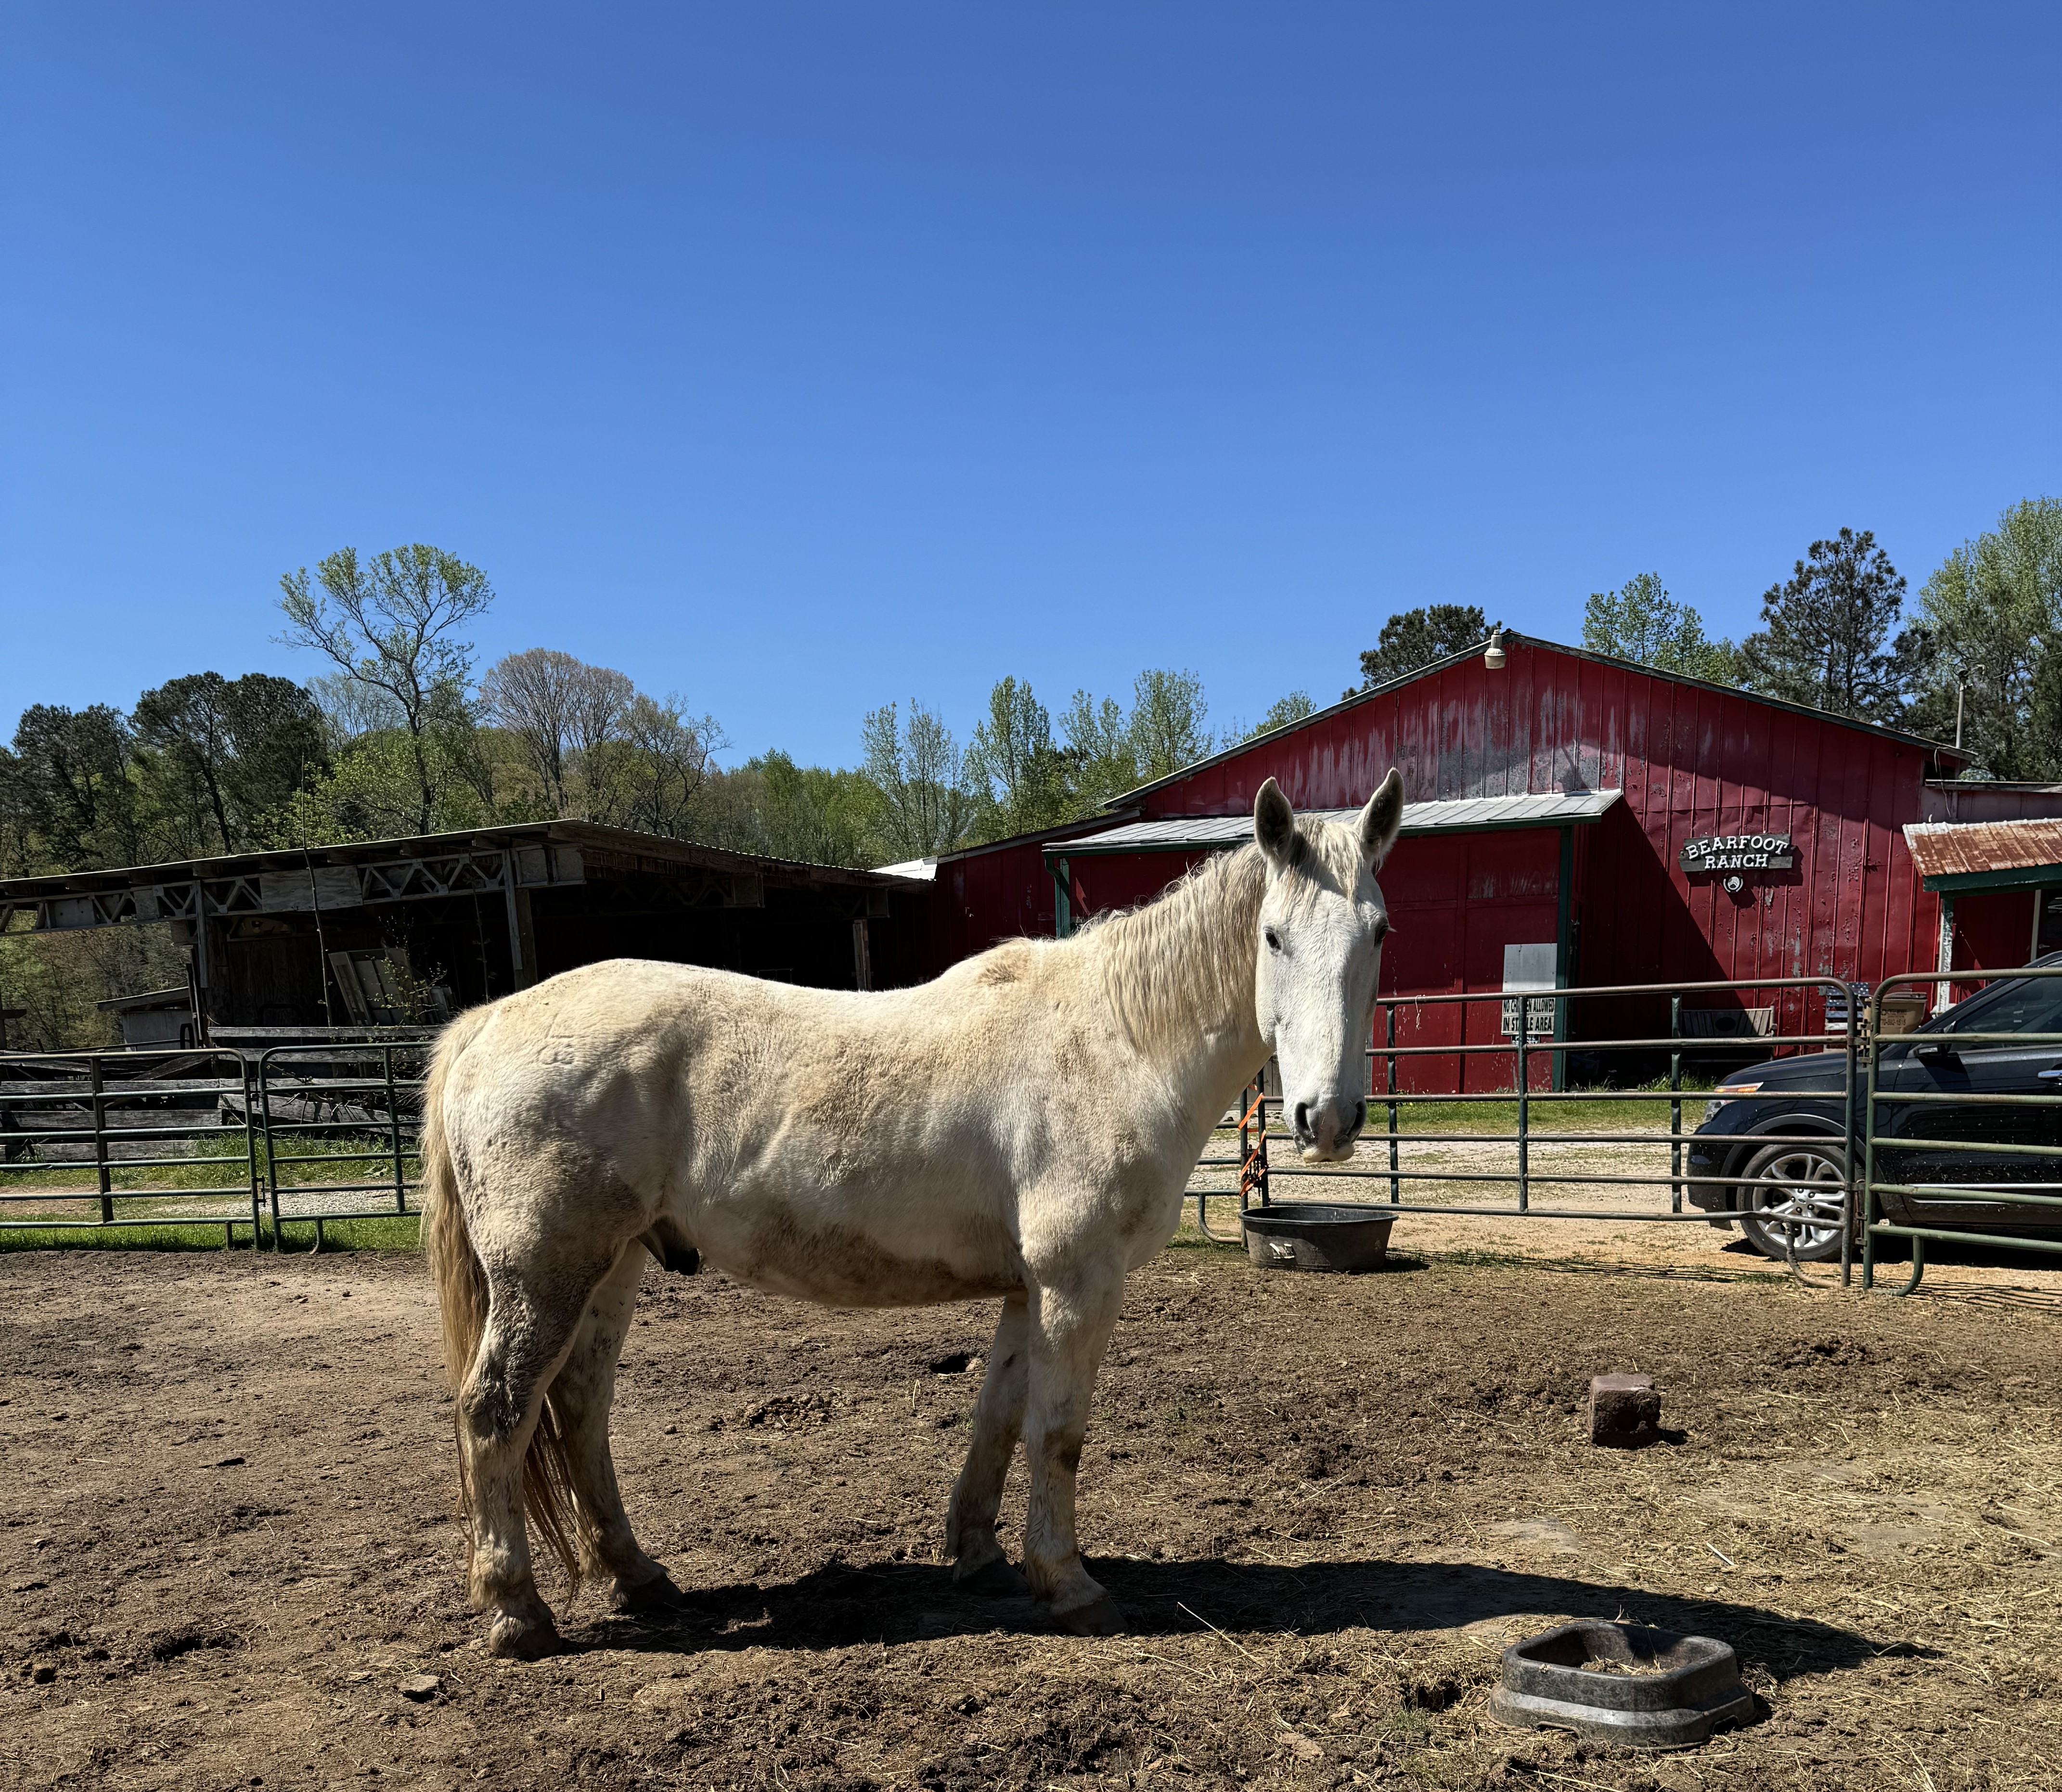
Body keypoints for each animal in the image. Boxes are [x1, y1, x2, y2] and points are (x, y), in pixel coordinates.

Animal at [423, 770, 1404, 1658]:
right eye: (1273, 936)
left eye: (1379, 931)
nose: (1326, 1118)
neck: (1113, 1042)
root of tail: (488, 1023)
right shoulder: (1076, 1283)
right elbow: (1057, 1433)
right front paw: (1070, 1583)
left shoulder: (1028, 1288)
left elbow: (999, 1420)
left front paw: (982, 1555)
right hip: (546, 1272)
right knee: (495, 1412)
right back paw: (516, 1611)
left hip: (613, 1265)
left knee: (580, 1408)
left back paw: (637, 1573)